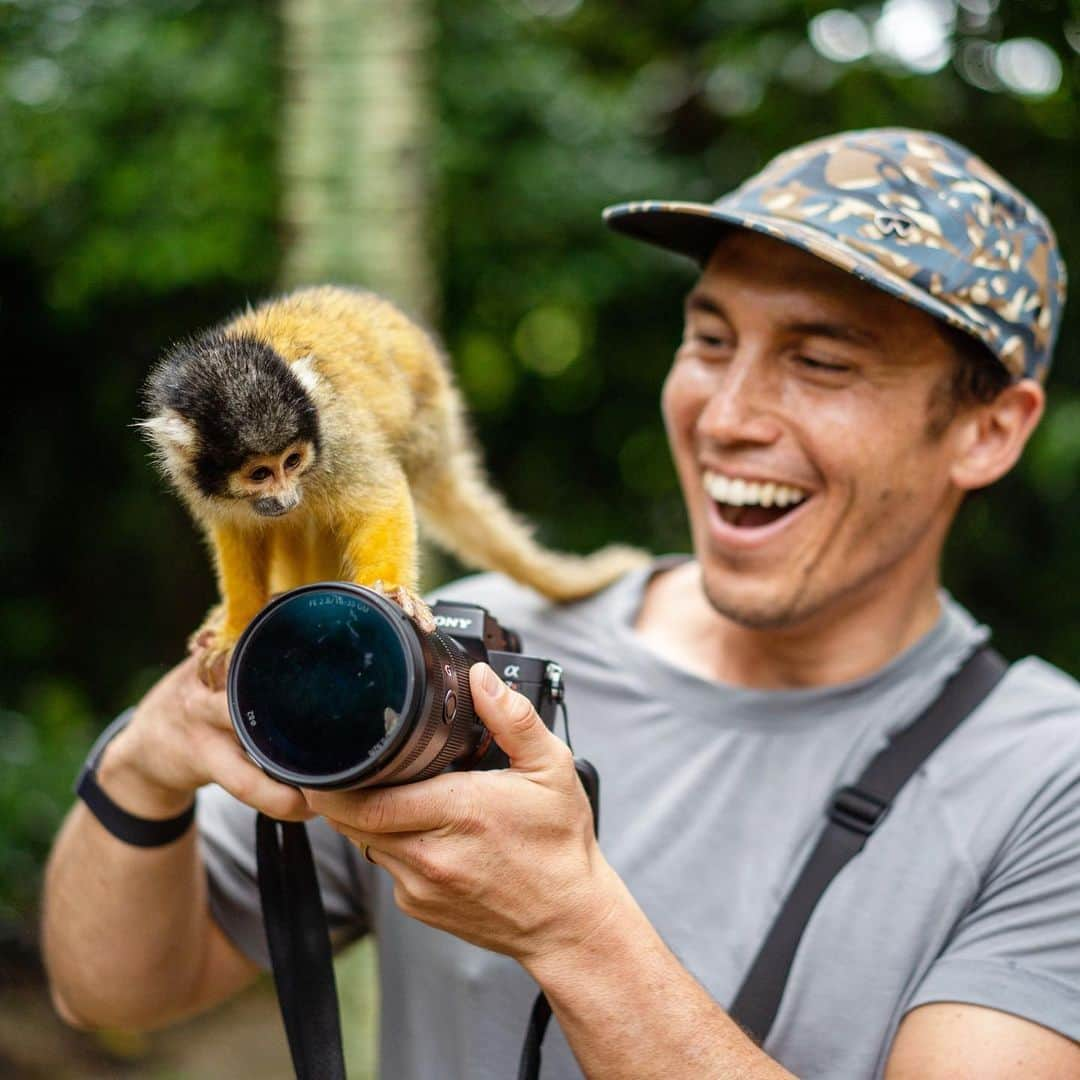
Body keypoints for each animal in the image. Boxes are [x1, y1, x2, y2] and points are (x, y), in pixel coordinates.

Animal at [143, 282, 648, 678]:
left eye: (292, 461)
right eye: (260, 473)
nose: (284, 496)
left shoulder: (336, 438)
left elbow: (377, 497)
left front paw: (384, 591)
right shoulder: (195, 478)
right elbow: (239, 531)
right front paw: (238, 623)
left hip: (424, 432)